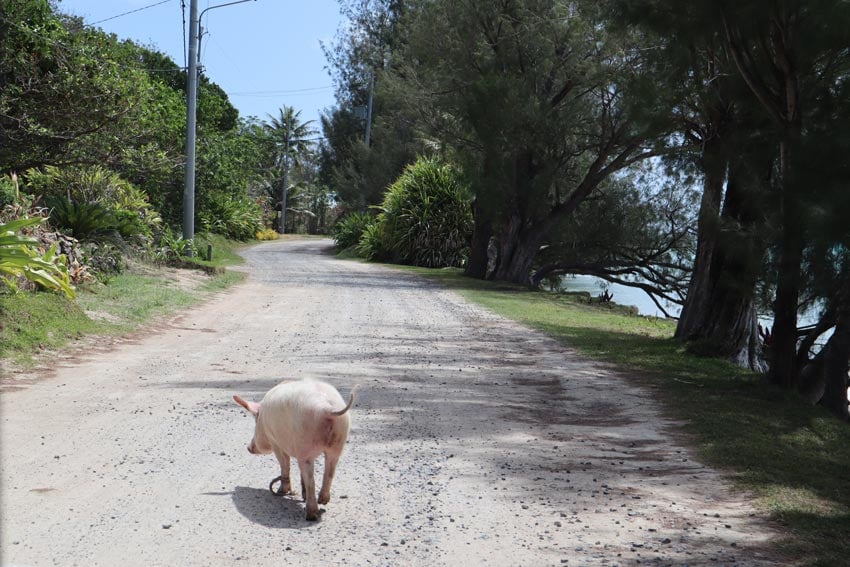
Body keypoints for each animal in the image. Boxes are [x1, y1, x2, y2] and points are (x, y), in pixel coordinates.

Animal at [232, 380, 354, 520]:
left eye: (255, 421)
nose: (248, 447)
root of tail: (327, 409)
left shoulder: (275, 442)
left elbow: (285, 464)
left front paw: (281, 492)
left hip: (305, 443)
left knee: (311, 480)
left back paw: (311, 515)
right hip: (339, 439)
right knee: (329, 472)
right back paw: (322, 501)